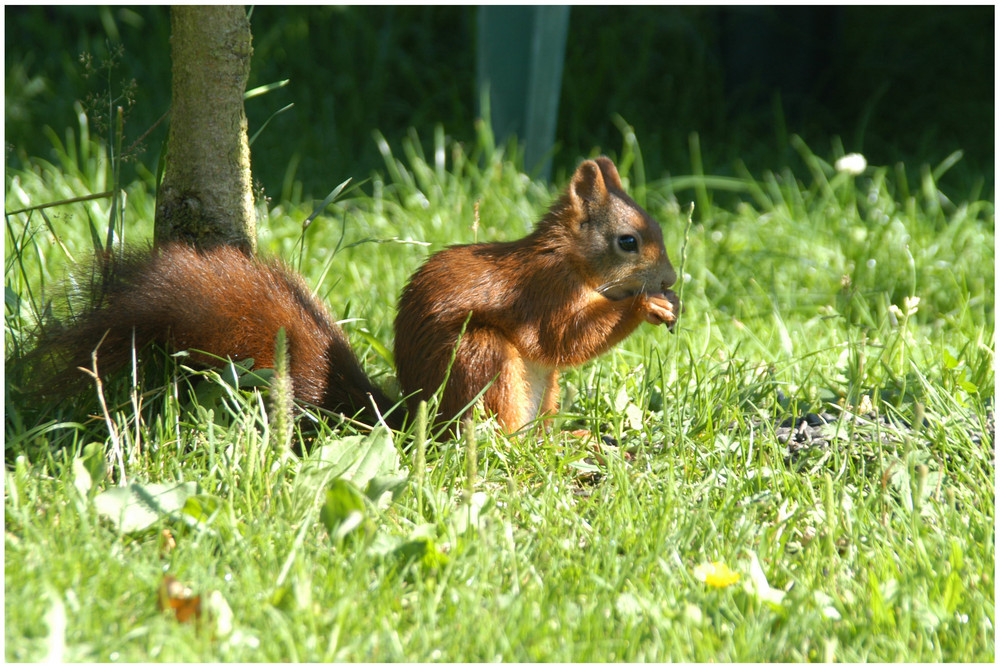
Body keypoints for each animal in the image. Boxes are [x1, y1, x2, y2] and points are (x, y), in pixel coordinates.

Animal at [17, 158, 680, 438]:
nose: (672, 279)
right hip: (482, 360)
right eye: (628, 241)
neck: (569, 259)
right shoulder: (542, 292)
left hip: (542, 388)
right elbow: (560, 337)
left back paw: (563, 439)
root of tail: (412, 420)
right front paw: (641, 308)